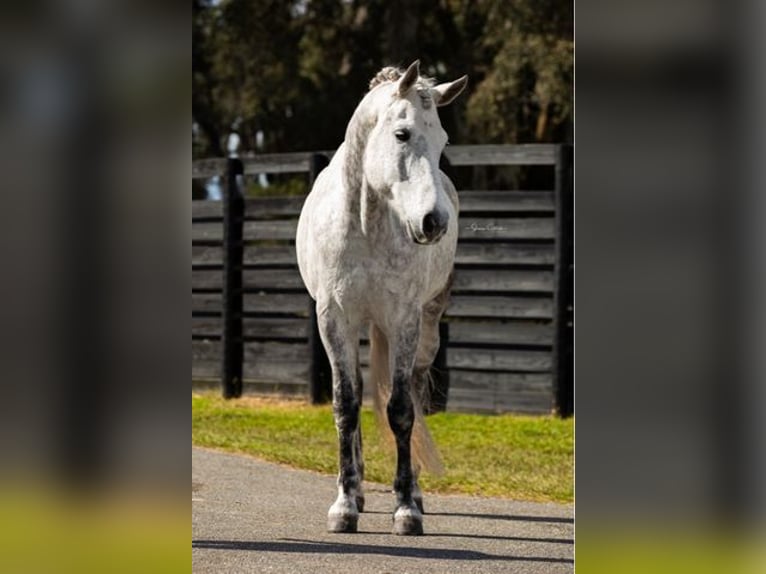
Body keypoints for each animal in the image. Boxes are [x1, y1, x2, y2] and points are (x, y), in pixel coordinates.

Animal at [296, 60, 467, 536]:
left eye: (443, 141)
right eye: (402, 134)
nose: (434, 222)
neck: (365, 223)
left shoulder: (404, 320)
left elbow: (402, 409)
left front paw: (406, 508)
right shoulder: (334, 319)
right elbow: (345, 404)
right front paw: (344, 506)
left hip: (423, 330)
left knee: (413, 393)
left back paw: (415, 492)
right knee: (354, 393)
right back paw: (355, 491)